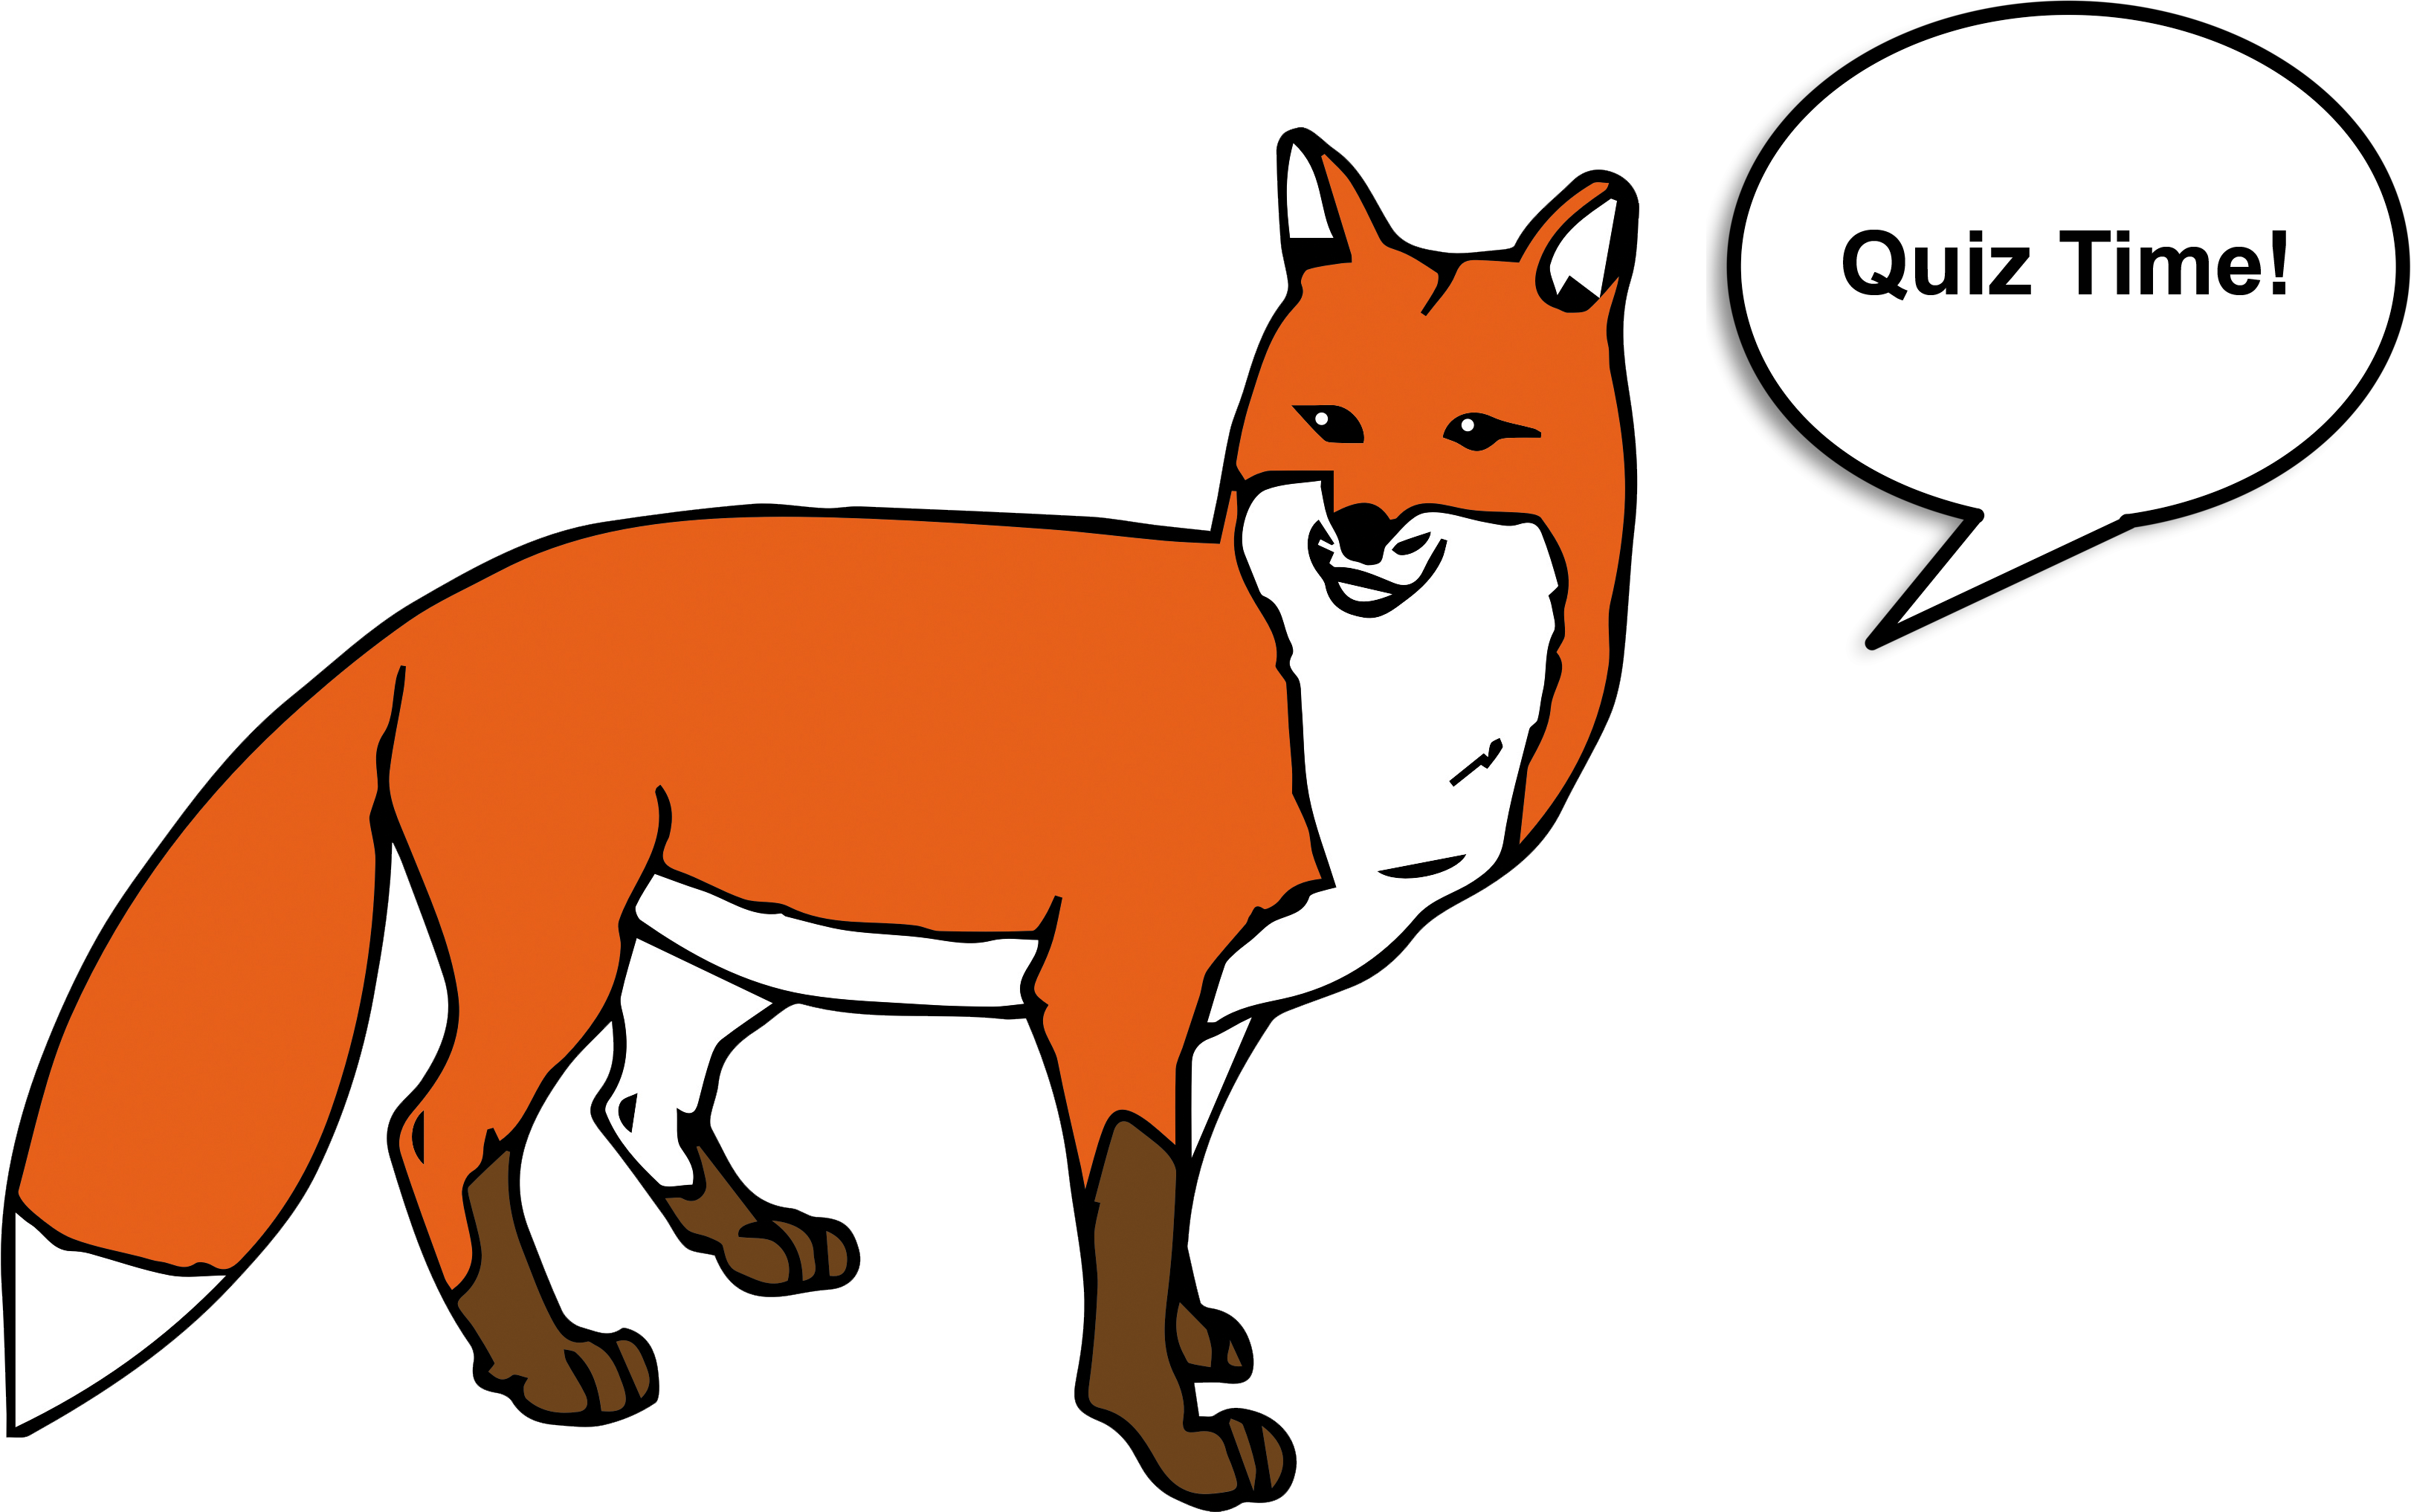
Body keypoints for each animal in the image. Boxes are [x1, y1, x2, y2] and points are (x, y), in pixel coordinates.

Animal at [4, 130, 1635, 1507]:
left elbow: (1174, 1207)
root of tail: (439, 605)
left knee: (633, 1099)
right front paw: (1158, 1432)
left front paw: (1189, 1336)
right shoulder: (1111, 992)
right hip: (557, 953)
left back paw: (748, 1240)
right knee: (441, 1128)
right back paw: (546, 1366)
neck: (1344, 712)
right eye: (1329, 422)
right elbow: (1122, 1218)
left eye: (1474, 433)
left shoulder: (1220, 1015)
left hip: (712, 960)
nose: (1357, 526)